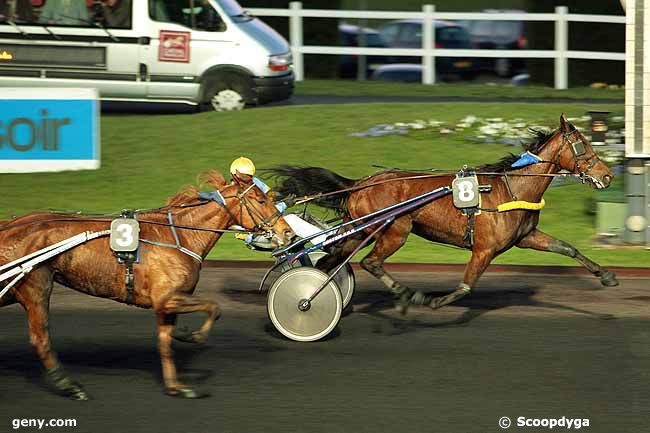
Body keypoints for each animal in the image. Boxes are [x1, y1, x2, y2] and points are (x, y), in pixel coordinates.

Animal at [0, 170, 292, 400]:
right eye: (262, 199)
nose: (287, 232)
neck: (179, 236)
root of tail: (10, 225)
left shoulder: (170, 303)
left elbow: (164, 343)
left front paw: (176, 385)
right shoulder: (166, 299)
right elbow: (214, 306)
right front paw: (192, 335)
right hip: (36, 287)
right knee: (40, 338)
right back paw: (69, 385)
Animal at [272, 114, 616, 310]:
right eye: (582, 145)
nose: (608, 175)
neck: (511, 188)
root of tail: (360, 183)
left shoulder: (526, 236)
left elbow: (567, 248)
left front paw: (607, 276)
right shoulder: (484, 249)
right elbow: (465, 286)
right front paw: (435, 300)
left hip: (361, 229)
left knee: (330, 259)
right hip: (393, 230)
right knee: (370, 262)